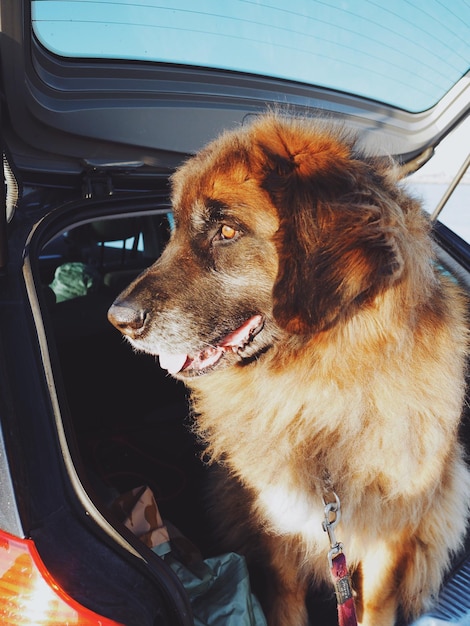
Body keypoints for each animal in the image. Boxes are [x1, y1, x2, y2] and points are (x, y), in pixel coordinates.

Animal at [108, 113, 468, 624]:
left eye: (227, 232)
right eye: (173, 228)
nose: (117, 318)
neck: (320, 386)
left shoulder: (390, 534)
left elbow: (376, 604)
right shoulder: (278, 529)